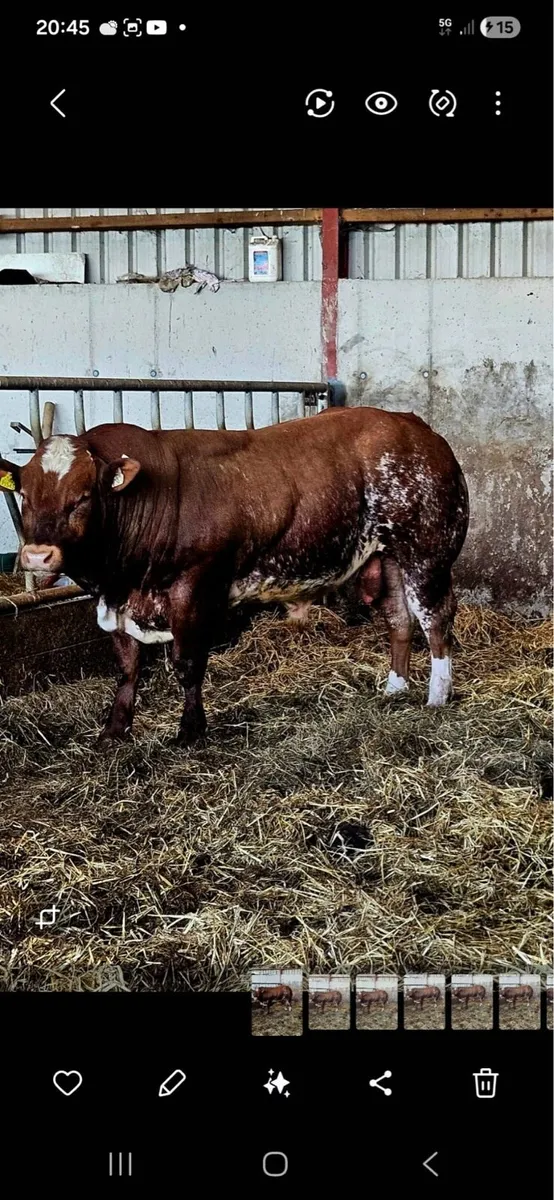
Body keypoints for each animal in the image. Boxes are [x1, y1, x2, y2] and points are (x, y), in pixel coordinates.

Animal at [0, 406, 469, 745]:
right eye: (24, 494)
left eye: (81, 498)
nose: (38, 556)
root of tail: (414, 426)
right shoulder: (117, 600)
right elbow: (128, 666)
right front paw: (114, 731)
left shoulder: (194, 586)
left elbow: (188, 663)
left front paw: (190, 732)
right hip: (388, 556)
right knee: (399, 619)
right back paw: (394, 689)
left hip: (428, 551)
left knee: (435, 621)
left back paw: (437, 697)